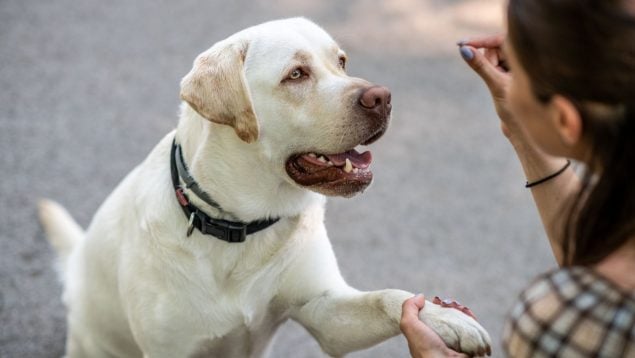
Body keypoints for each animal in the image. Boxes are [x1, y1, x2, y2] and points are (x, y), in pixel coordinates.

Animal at [38, 17, 492, 358]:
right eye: (296, 74)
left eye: (342, 61)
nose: (382, 97)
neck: (240, 225)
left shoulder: (324, 311)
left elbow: (389, 298)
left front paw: (447, 320)